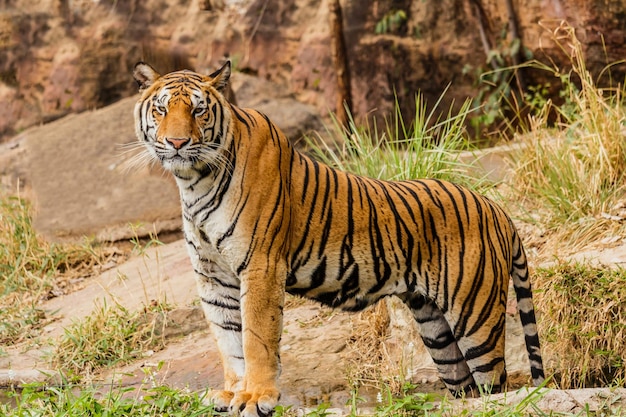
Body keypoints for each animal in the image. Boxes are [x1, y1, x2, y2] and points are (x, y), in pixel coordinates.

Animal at [132, 61, 540, 416]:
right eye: (161, 109)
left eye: (199, 110)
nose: (178, 142)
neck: (194, 181)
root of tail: (496, 208)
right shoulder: (213, 276)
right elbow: (228, 341)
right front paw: (232, 393)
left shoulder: (261, 266)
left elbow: (255, 339)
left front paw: (256, 397)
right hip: (436, 329)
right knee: (467, 388)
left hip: (476, 317)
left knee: (496, 384)